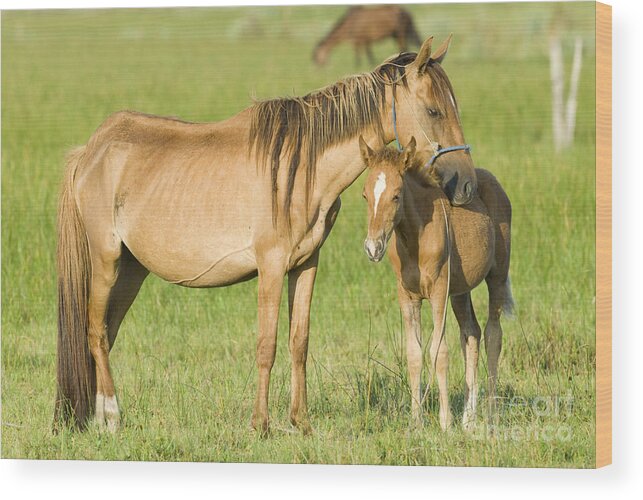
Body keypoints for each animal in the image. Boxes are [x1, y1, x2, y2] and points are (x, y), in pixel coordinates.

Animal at [358, 136, 512, 430]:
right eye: (365, 195)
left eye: (396, 195)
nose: (373, 248)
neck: (415, 240)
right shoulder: (407, 295)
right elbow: (414, 353)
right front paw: (416, 421)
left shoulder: (439, 291)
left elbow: (439, 351)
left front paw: (444, 422)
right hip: (460, 291)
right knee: (472, 334)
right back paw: (468, 418)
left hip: (496, 276)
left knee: (493, 334)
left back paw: (491, 414)